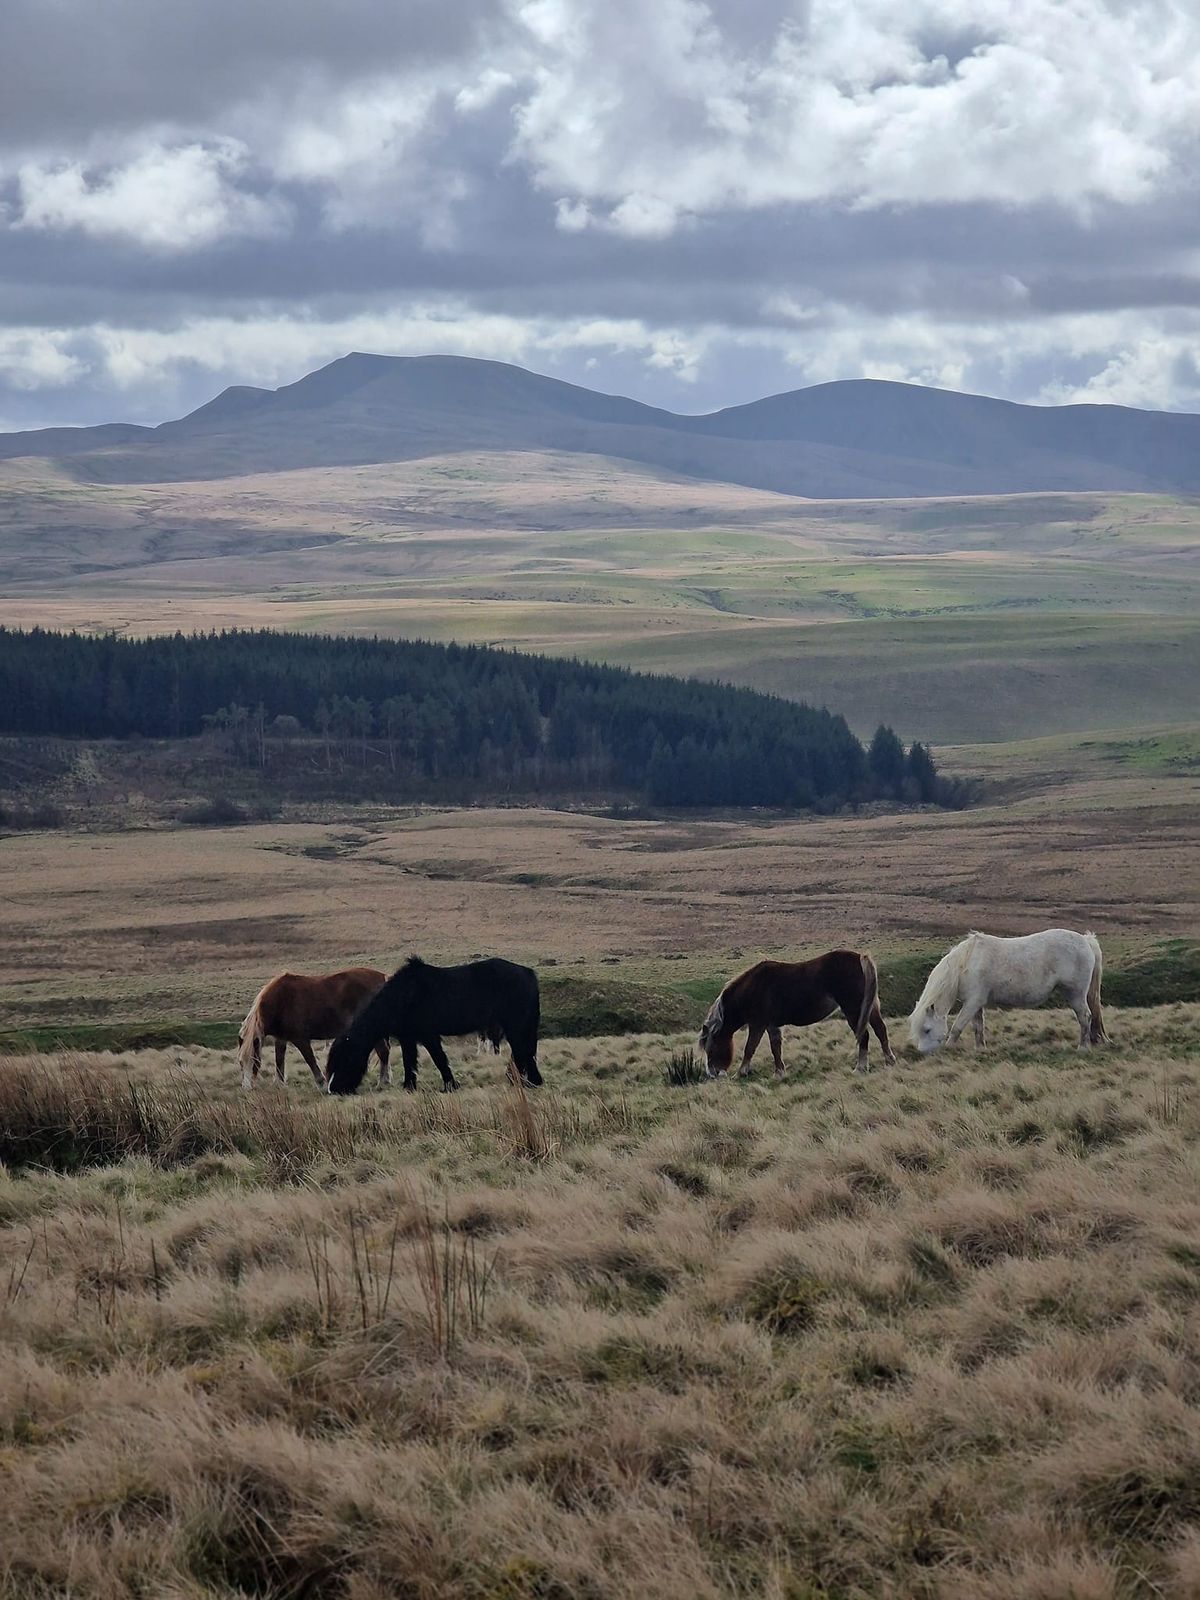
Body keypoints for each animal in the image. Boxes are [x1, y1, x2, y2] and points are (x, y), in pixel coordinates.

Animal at [241, 966, 392, 1094]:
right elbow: (279, 1061)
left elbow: (310, 1060)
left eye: (253, 1059)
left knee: (383, 1051)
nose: (246, 1089)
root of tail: (382, 977)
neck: (279, 1000)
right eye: (240, 1062)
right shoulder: (281, 1038)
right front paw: (280, 1085)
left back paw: (382, 1083)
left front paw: (322, 1084)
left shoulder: (300, 1039)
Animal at [324, 953, 540, 1094]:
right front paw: (409, 1086)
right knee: (525, 1051)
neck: (401, 997)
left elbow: (438, 1059)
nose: (333, 1089)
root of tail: (528, 973)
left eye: (344, 1060)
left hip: (514, 1025)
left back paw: (522, 1081)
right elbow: (409, 1061)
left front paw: (450, 1086)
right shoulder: (408, 1038)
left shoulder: (428, 1035)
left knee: (521, 1050)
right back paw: (530, 1081)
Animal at [700, 947, 896, 1075]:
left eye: (712, 1047)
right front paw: (779, 1072)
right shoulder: (772, 1025)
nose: (712, 1073)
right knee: (880, 1030)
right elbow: (775, 1047)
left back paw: (860, 1068)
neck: (753, 988)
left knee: (864, 1036)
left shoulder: (758, 1024)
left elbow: (750, 1048)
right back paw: (889, 1061)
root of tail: (860, 958)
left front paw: (741, 1072)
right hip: (870, 1007)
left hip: (854, 1010)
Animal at [908, 934, 1107, 1056]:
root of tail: (1086, 940)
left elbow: (957, 1027)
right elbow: (978, 1027)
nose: (922, 1053)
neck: (966, 964)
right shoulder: (976, 1003)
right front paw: (980, 1049)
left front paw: (949, 1047)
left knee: (1085, 1016)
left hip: (1076, 995)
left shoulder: (972, 1003)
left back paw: (1082, 1047)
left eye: (927, 1029)